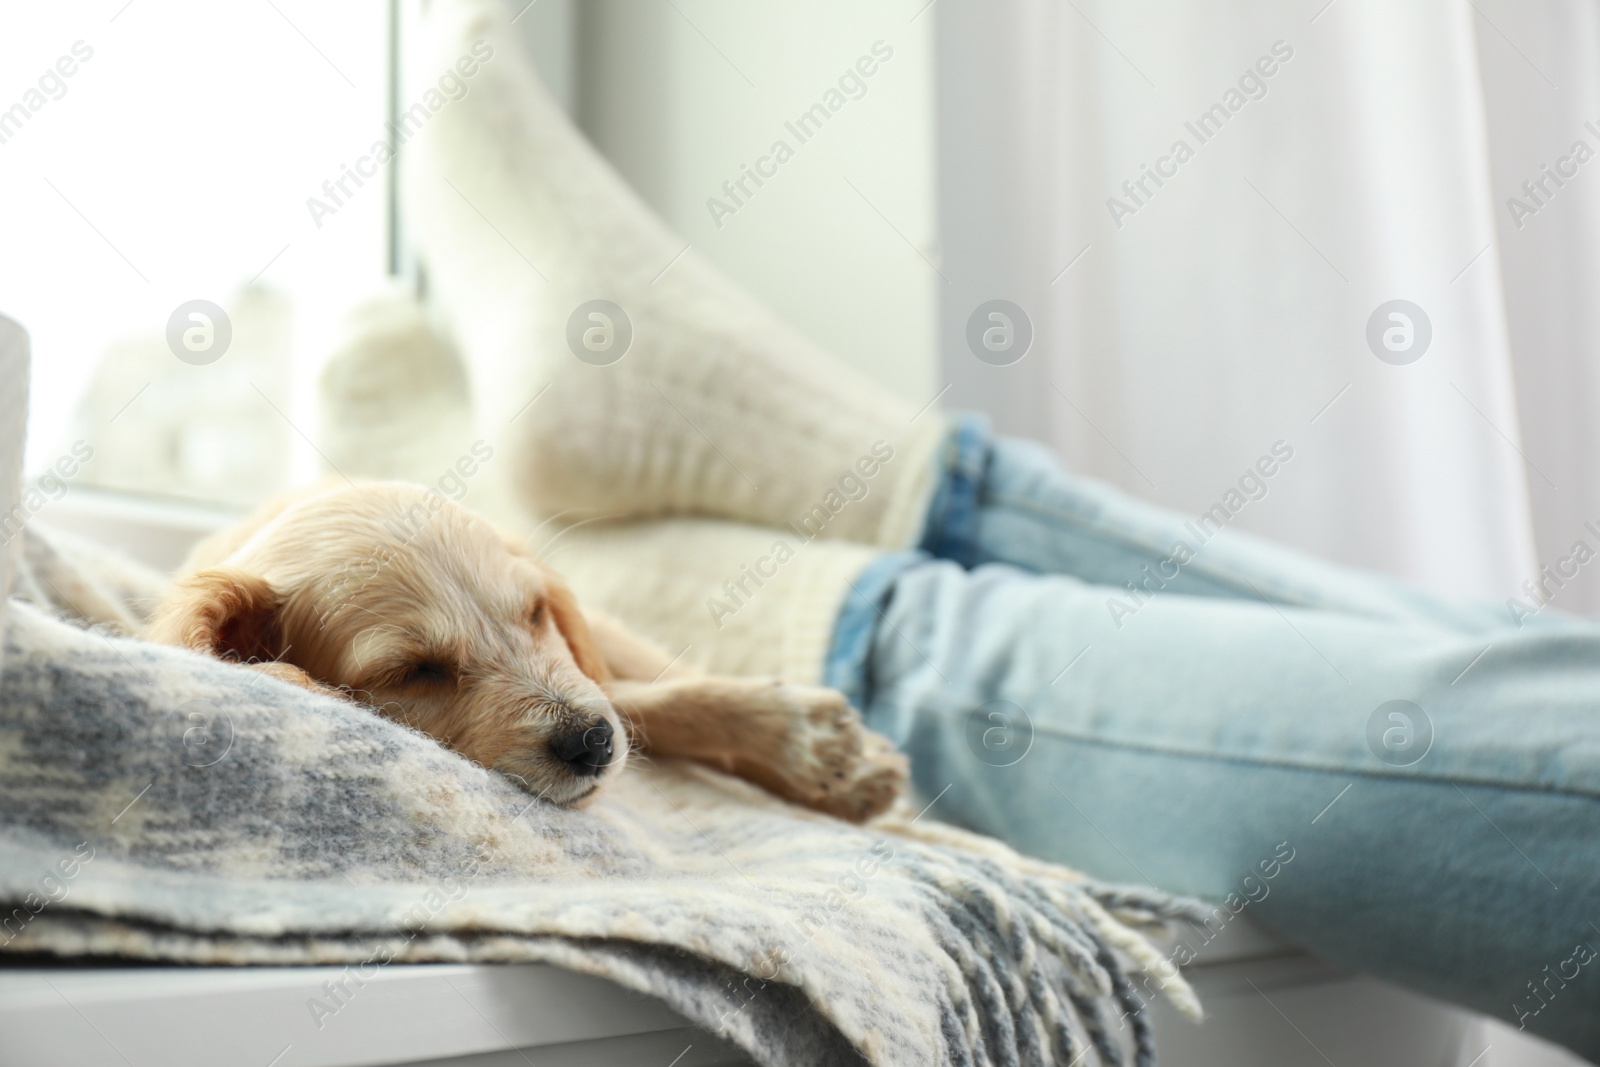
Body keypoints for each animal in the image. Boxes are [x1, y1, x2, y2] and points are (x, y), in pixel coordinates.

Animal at [148, 479, 908, 825]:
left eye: (535, 612)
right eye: (413, 672)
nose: (592, 744)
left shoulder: (584, 664)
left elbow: (649, 698)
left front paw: (807, 748)